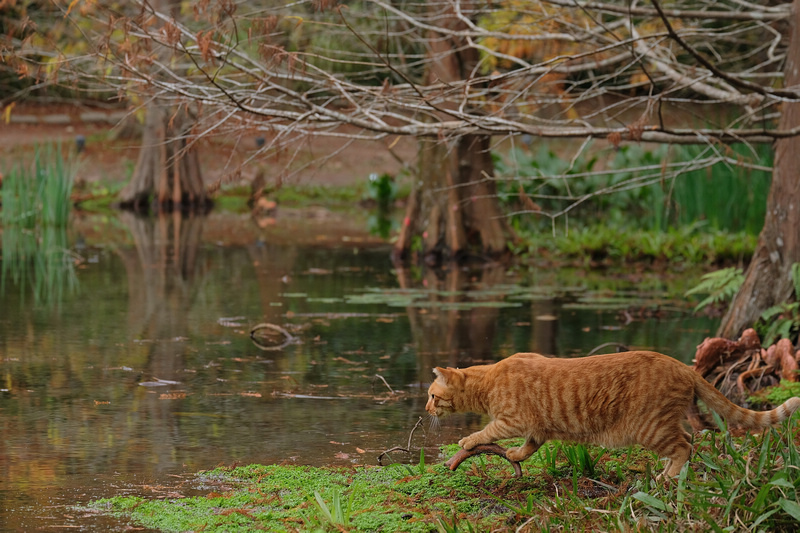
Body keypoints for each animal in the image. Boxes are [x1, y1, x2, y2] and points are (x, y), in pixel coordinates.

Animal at [428, 352, 800, 476]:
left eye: (432, 395)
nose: (427, 408)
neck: (489, 379)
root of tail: (681, 364)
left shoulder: (513, 420)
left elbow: (488, 431)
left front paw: (468, 439)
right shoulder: (537, 426)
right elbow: (531, 445)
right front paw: (515, 455)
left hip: (648, 427)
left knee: (685, 446)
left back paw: (666, 478)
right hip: (663, 424)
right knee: (689, 439)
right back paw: (668, 473)